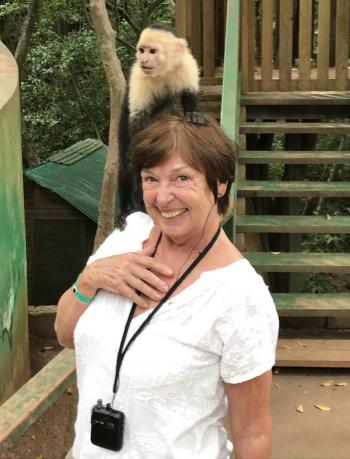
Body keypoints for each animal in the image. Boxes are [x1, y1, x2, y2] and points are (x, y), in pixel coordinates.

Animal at [118, 23, 205, 223]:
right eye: (141, 50)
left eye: (152, 51)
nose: (144, 59)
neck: (163, 71)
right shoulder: (139, 76)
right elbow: (138, 120)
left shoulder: (186, 64)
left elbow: (189, 93)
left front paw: (193, 114)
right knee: (126, 164)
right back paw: (126, 208)